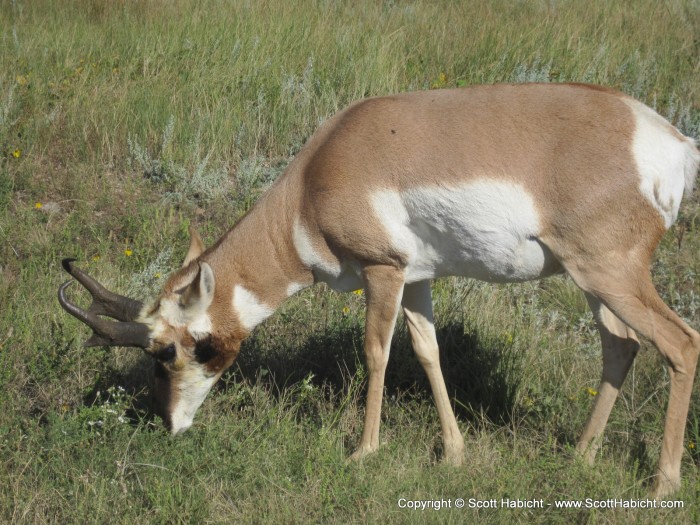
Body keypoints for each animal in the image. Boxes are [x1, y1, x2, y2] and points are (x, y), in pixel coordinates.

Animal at [60, 84, 700, 498]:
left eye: (166, 351)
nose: (170, 426)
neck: (318, 174)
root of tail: (669, 139)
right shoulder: (418, 280)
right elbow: (427, 351)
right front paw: (454, 454)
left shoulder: (382, 271)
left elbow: (376, 352)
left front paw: (363, 452)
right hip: (593, 282)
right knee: (621, 346)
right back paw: (580, 456)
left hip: (610, 275)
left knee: (680, 342)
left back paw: (662, 486)